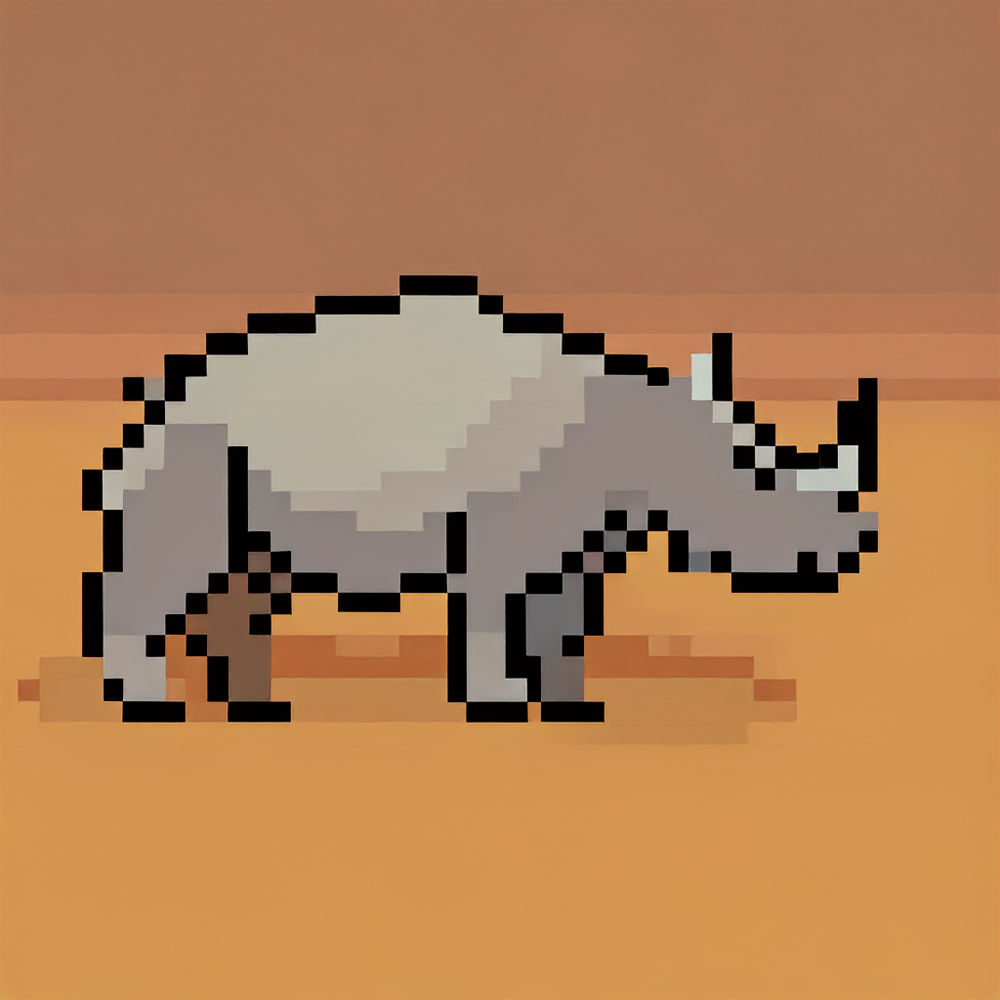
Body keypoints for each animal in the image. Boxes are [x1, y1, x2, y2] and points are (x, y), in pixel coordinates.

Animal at [80, 275, 878, 722]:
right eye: (751, 485)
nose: (857, 535)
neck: (640, 426)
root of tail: (160, 406)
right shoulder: (506, 524)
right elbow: (497, 606)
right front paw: (499, 703)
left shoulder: (578, 531)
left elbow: (563, 615)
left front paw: (574, 708)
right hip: (200, 450)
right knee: (178, 556)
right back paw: (149, 706)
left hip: (236, 459)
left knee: (251, 567)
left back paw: (260, 709)